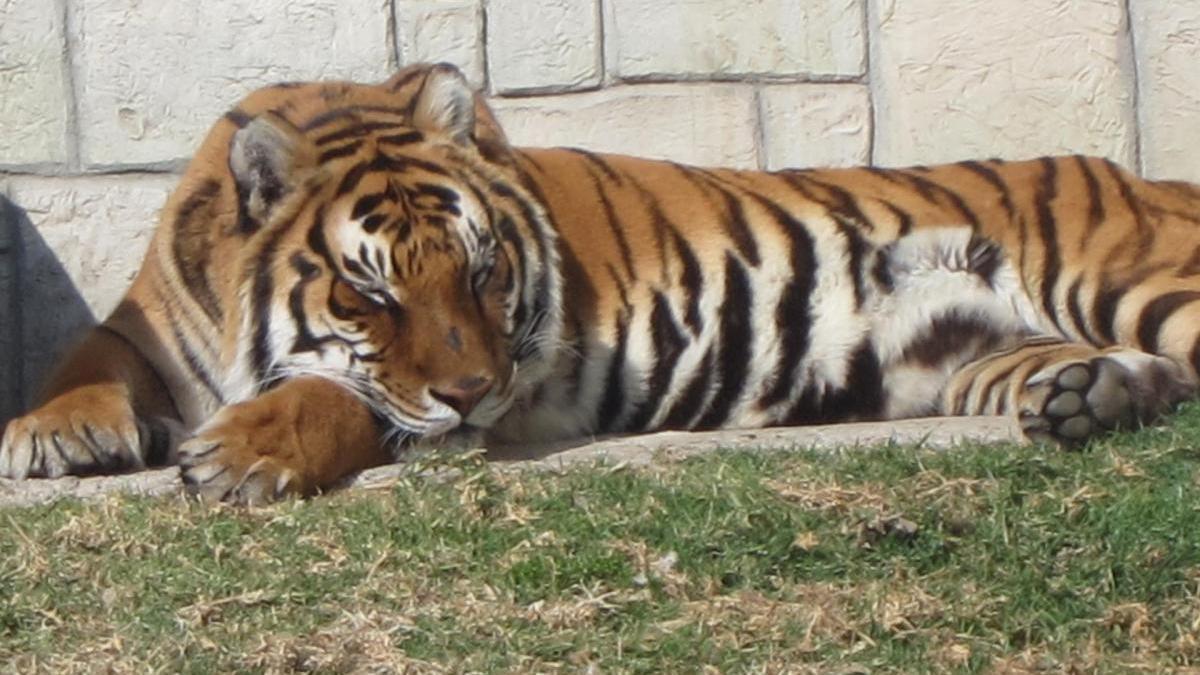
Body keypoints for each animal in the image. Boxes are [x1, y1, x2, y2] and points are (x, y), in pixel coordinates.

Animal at [2, 63, 1200, 502]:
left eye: (484, 274)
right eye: (373, 295)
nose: (471, 389)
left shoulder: (478, 404)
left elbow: (341, 400)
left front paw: (243, 452)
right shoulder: (153, 318)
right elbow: (92, 354)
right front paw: (53, 434)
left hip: (1133, 278)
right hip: (982, 355)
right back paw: (1095, 398)